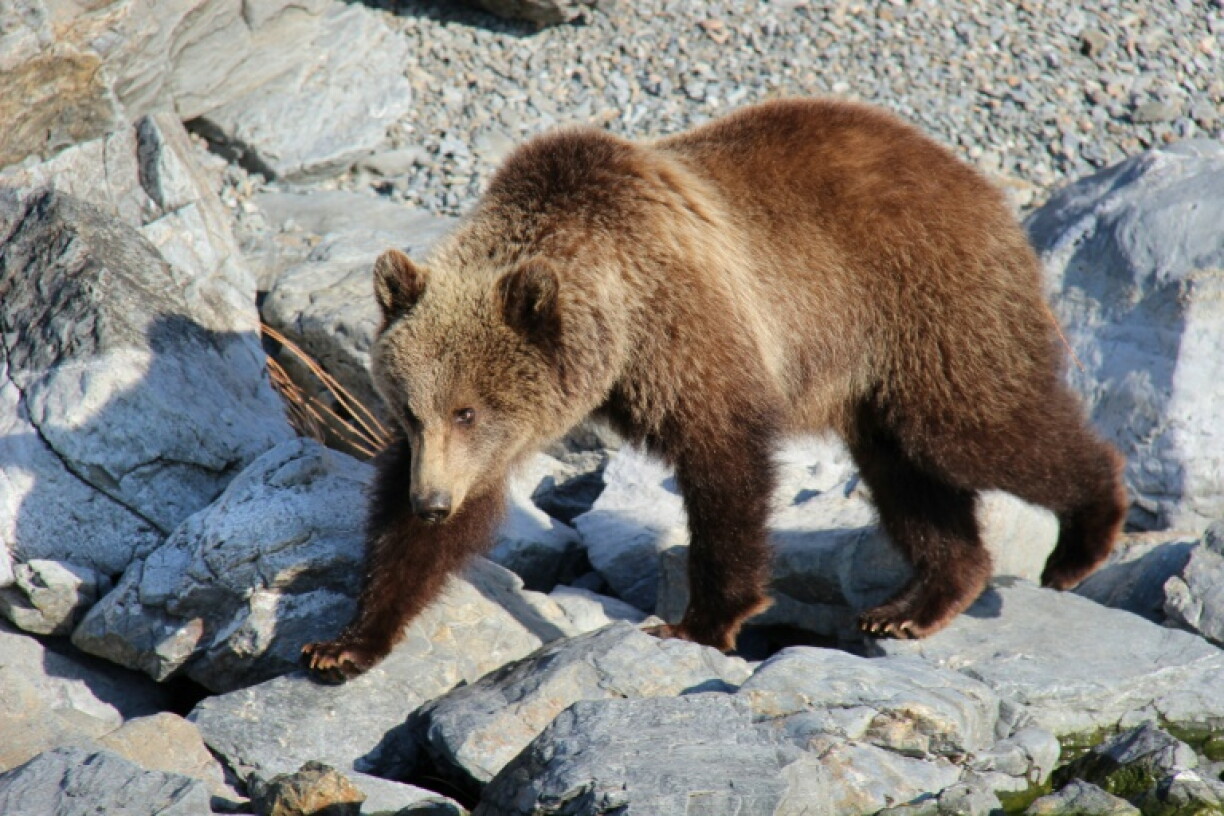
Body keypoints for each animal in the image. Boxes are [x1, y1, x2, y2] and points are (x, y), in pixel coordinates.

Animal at [302, 97, 1127, 683]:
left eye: (469, 409)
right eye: (411, 410)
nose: (430, 500)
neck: (617, 318)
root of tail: (970, 176)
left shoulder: (687, 328)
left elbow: (724, 463)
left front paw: (699, 620)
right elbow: (419, 535)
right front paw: (344, 643)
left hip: (925, 303)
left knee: (974, 429)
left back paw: (1086, 533)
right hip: (877, 371)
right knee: (906, 475)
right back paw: (914, 603)